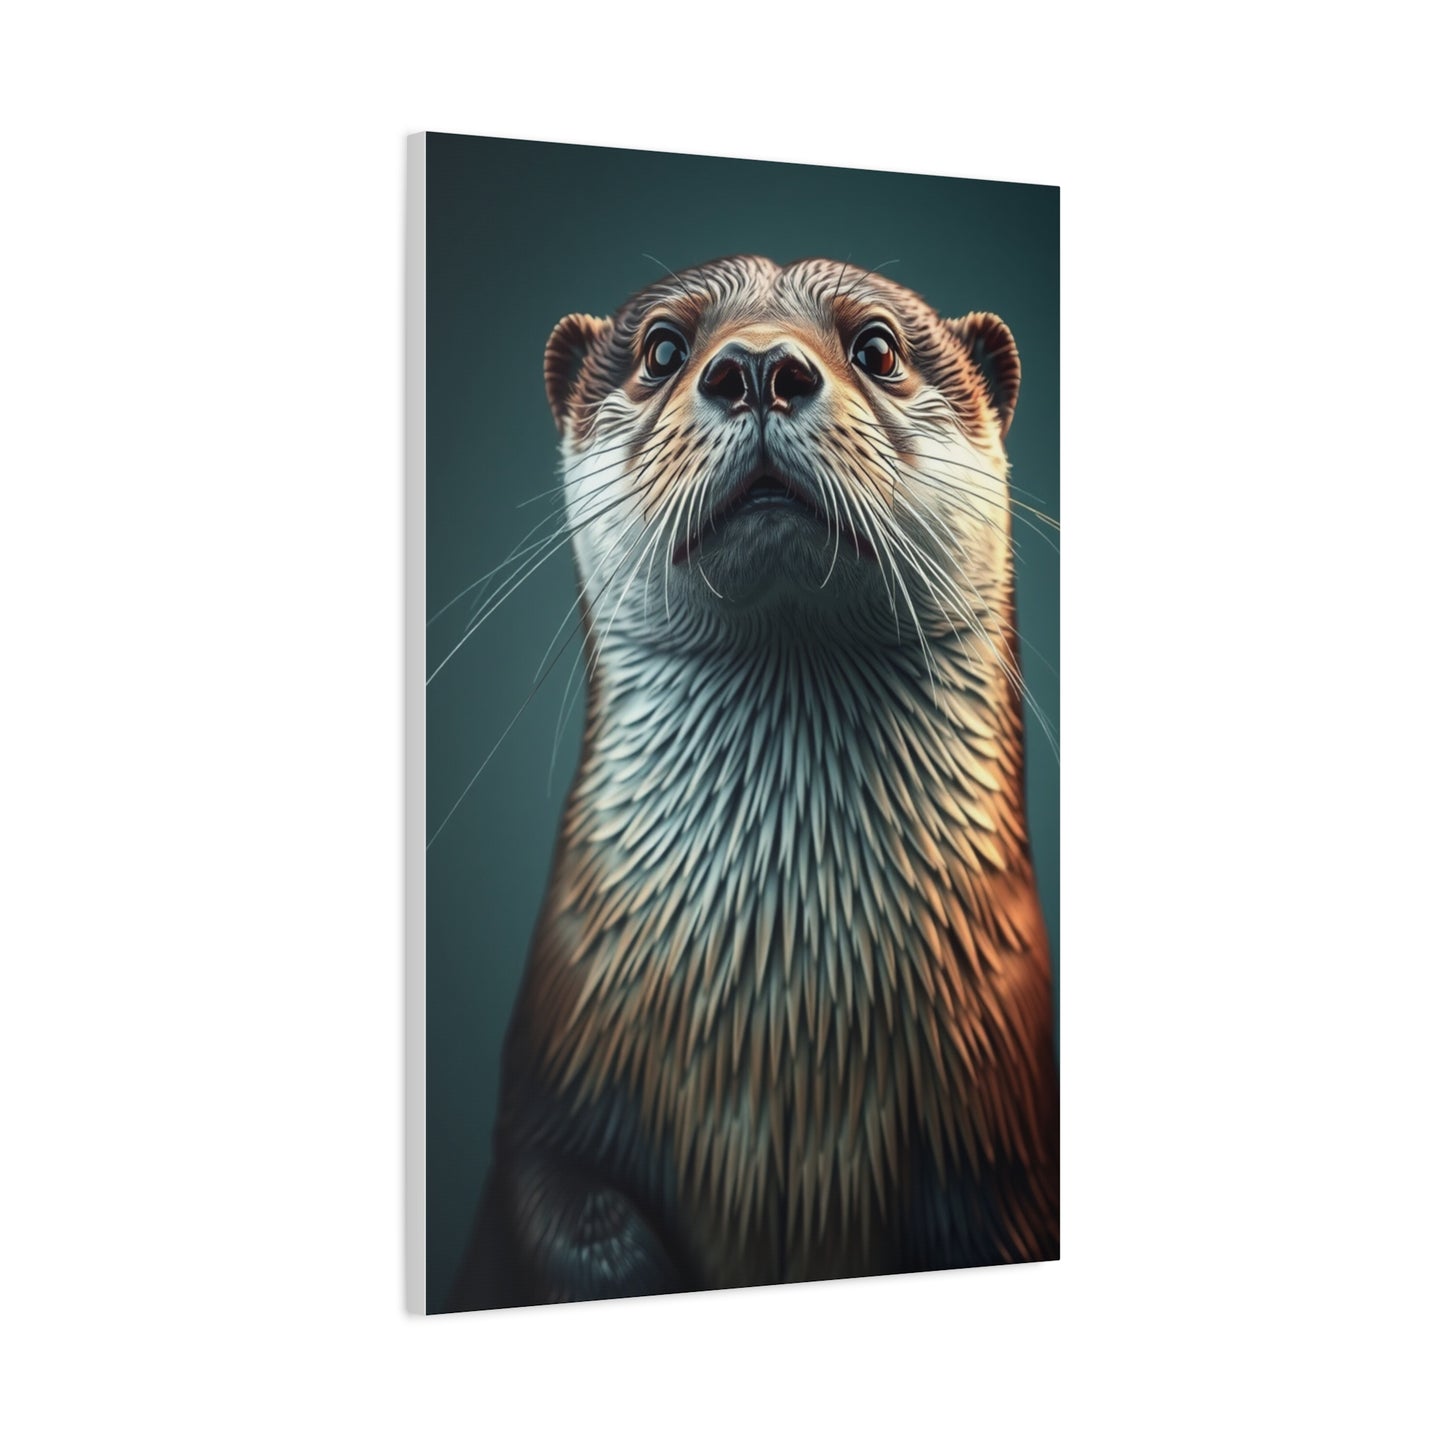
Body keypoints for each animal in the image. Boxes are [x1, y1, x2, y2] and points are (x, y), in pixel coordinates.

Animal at [448, 256, 1057, 1309]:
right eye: (661, 347)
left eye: (876, 345)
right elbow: (570, 1221)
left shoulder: (1008, 1138)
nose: (762, 366)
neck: (784, 1030)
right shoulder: (543, 1117)